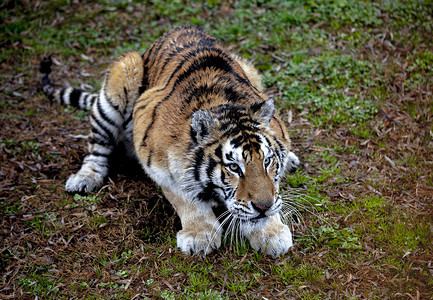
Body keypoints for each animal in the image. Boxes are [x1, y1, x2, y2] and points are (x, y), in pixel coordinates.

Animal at [38, 24, 298, 258]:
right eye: (233, 167)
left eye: (267, 161)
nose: (263, 207)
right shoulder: (158, 163)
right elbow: (185, 199)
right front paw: (199, 235)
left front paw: (272, 232)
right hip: (124, 72)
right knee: (98, 146)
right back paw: (84, 179)